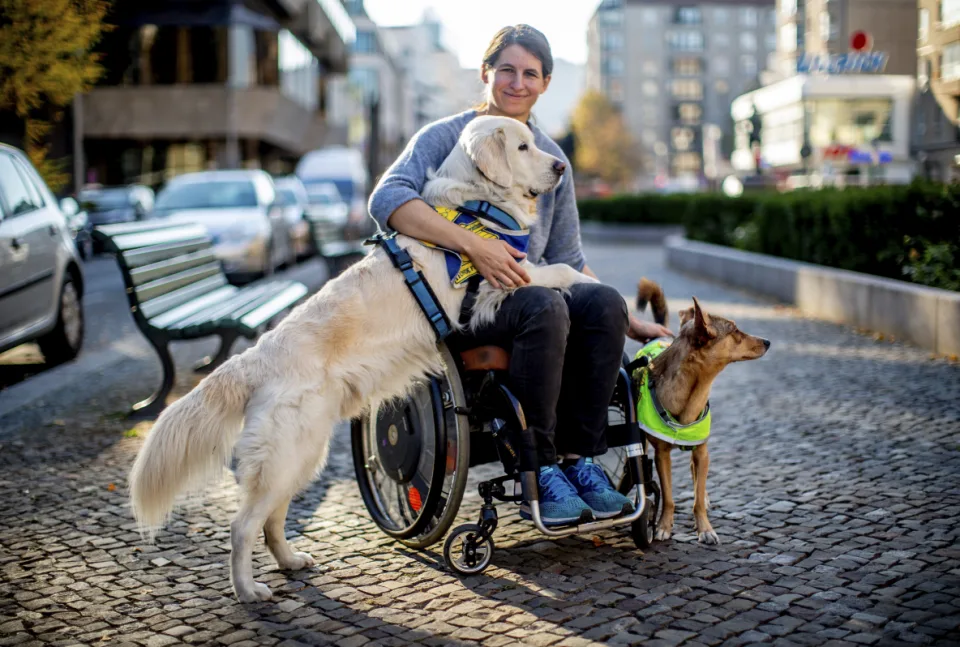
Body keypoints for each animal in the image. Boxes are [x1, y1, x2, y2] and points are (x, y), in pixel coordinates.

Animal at [632, 280, 768, 544]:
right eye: (735, 331)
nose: (768, 341)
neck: (694, 392)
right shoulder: (662, 455)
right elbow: (669, 496)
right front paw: (663, 525)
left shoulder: (703, 451)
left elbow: (697, 495)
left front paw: (705, 528)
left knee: (696, 475)